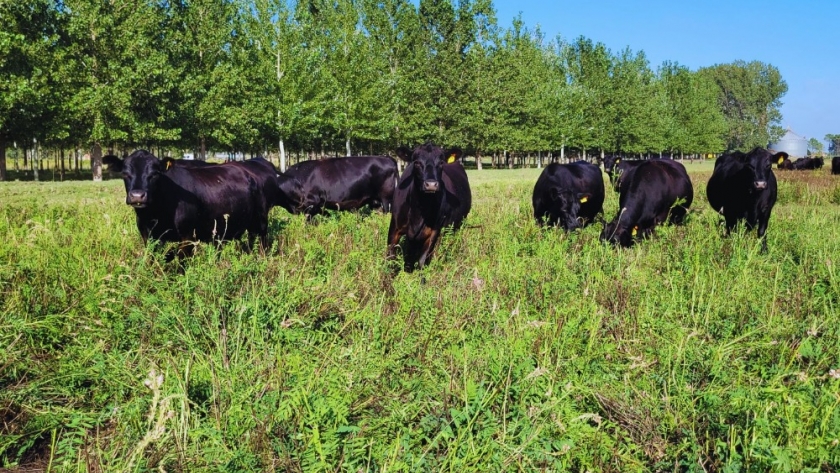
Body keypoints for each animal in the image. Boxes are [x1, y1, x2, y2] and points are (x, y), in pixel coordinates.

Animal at [103, 151, 294, 254]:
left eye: (155, 174)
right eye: (125, 173)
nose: (137, 196)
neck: (155, 214)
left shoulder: (187, 236)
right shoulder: (147, 236)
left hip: (261, 222)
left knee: (261, 244)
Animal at [388, 142, 472, 272]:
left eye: (441, 163)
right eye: (417, 162)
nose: (431, 185)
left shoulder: (434, 231)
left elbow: (422, 261)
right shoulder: (394, 228)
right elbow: (390, 260)